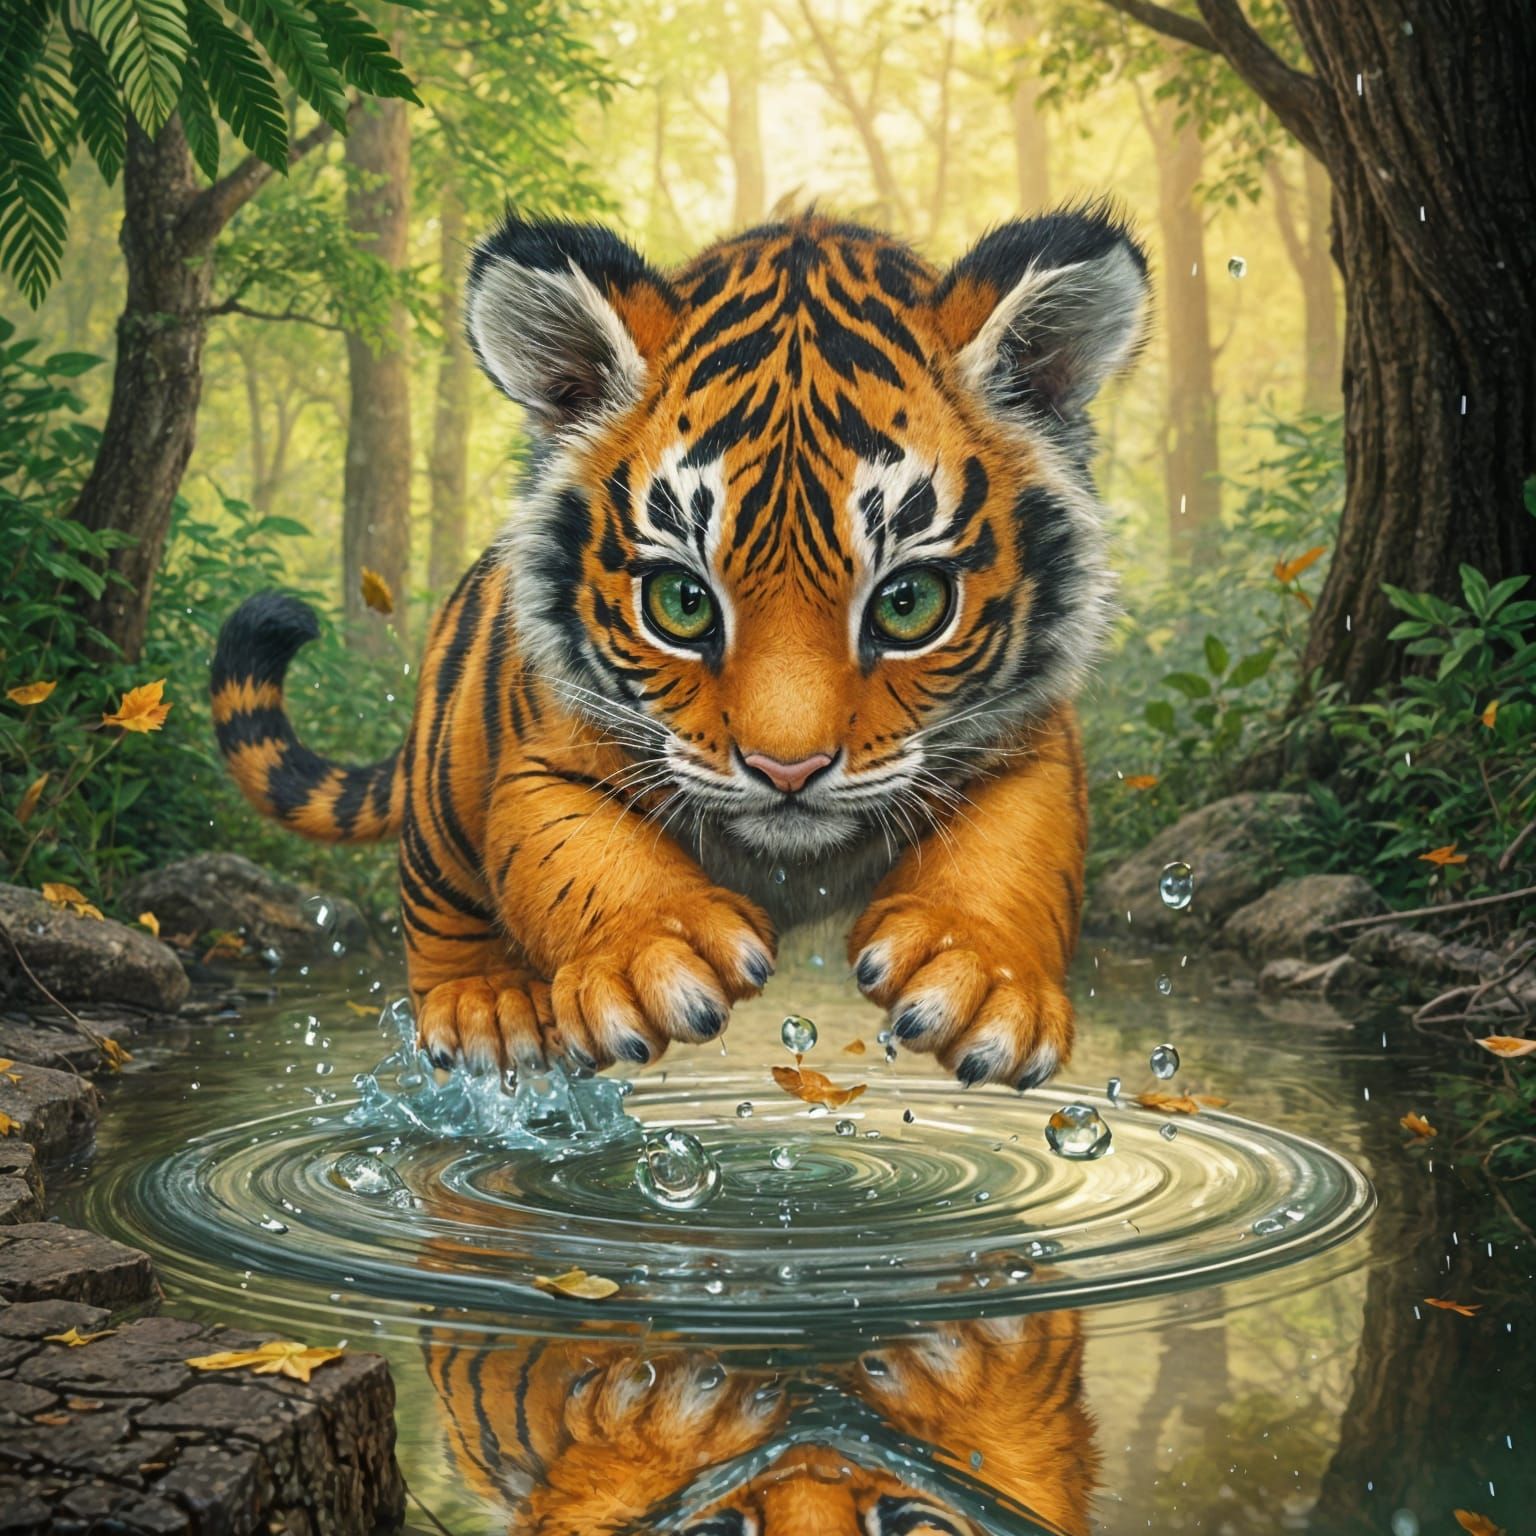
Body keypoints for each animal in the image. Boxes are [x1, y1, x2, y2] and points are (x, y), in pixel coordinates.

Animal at [212, 204, 1147, 1088]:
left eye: (909, 603)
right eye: (683, 603)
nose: (787, 771)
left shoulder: (1030, 745)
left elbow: (1011, 852)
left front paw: (978, 977)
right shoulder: (542, 759)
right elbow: (577, 849)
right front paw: (655, 955)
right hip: (443, 805)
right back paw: (487, 1012)